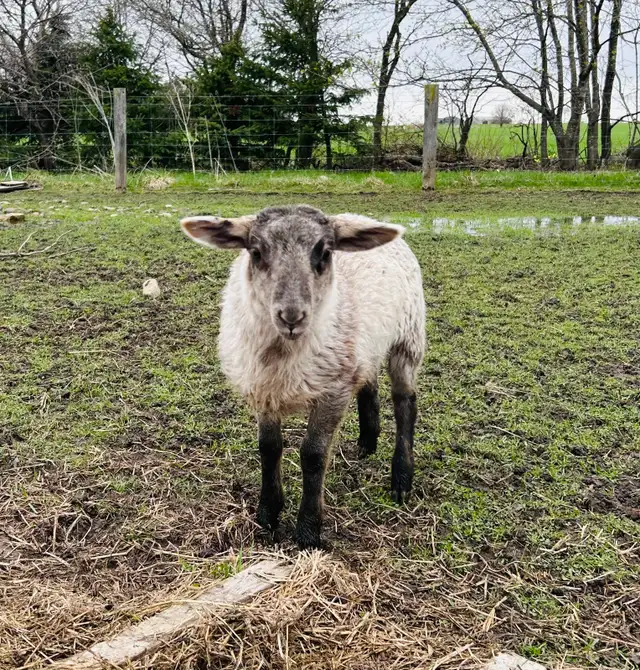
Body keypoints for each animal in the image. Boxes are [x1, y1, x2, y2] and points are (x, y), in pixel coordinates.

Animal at [181, 205, 425, 548]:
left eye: (325, 253)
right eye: (256, 252)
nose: (292, 316)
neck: (284, 354)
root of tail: (361, 216)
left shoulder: (332, 391)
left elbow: (313, 455)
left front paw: (308, 529)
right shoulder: (264, 388)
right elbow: (269, 448)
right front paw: (268, 514)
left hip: (409, 336)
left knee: (405, 403)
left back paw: (401, 477)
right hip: (365, 346)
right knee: (369, 382)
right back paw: (367, 441)